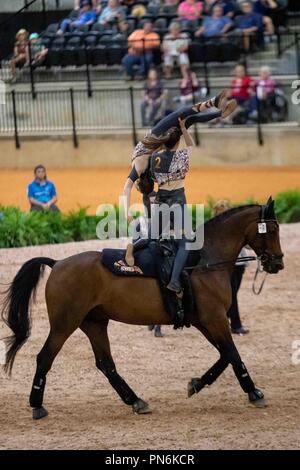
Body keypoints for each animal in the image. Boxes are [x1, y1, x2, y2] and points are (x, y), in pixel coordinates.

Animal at [1, 196, 284, 420]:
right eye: (271, 229)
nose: (277, 263)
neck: (203, 262)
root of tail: (57, 263)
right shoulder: (215, 319)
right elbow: (233, 354)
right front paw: (254, 392)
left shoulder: (206, 322)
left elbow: (225, 356)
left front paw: (196, 384)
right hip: (64, 324)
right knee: (44, 358)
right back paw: (37, 406)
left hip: (94, 323)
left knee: (106, 364)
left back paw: (136, 401)